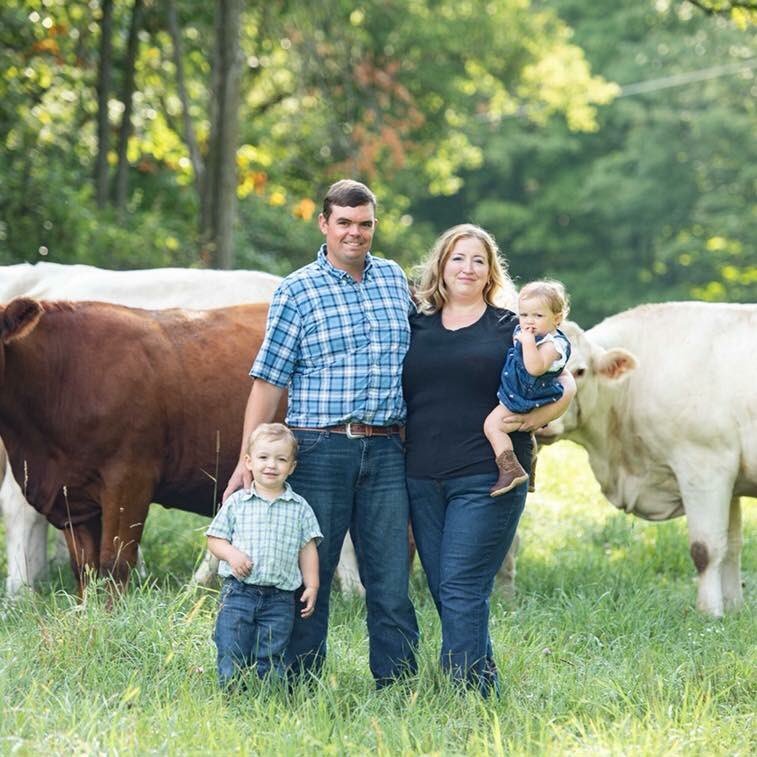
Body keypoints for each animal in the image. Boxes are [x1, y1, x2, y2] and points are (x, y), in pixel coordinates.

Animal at [540, 298, 752, 616]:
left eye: (579, 371)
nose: (543, 422)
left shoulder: (704, 465)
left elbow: (706, 549)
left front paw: (709, 613)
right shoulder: (731, 476)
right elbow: (732, 546)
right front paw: (734, 610)